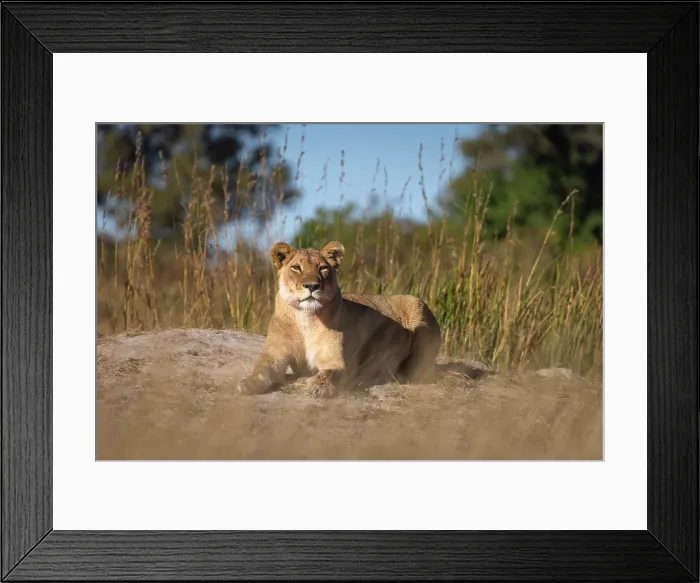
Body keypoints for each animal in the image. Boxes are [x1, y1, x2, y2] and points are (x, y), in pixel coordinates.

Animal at [236, 240, 442, 398]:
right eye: (296, 268)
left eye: (323, 268)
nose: (312, 286)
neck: (306, 318)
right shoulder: (274, 354)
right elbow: (261, 369)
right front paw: (246, 384)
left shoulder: (337, 362)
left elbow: (328, 373)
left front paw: (317, 387)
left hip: (416, 304)